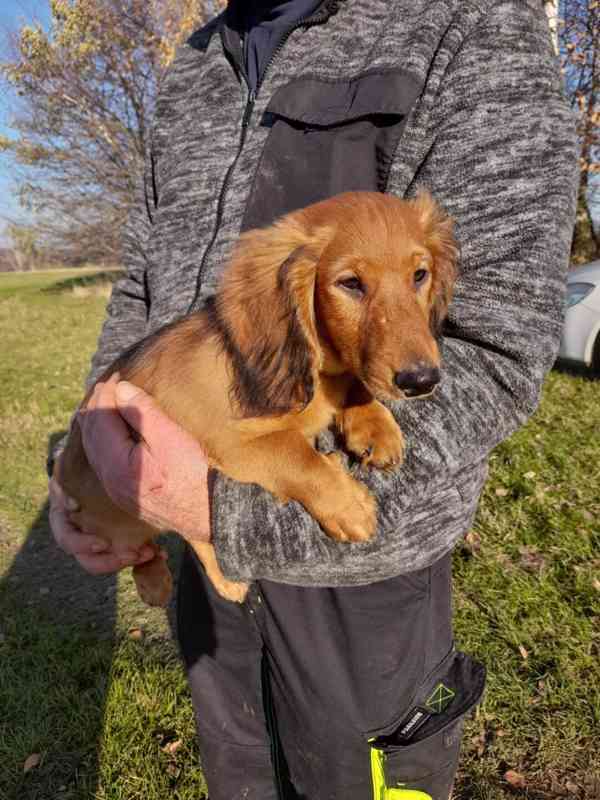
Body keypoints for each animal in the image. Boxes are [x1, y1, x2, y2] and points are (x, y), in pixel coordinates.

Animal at [57, 192, 460, 608]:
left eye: (419, 275)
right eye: (350, 283)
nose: (421, 380)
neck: (315, 376)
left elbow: (354, 385)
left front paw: (375, 427)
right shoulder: (230, 444)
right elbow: (297, 456)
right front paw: (349, 504)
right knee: (179, 540)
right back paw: (195, 581)